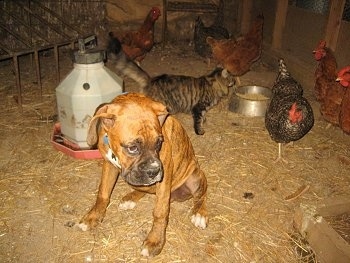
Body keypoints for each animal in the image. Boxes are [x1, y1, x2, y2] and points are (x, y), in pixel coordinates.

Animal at [78, 93, 208, 258]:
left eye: (159, 143)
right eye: (132, 148)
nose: (154, 171)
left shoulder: (165, 174)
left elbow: (160, 212)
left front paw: (155, 241)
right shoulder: (108, 165)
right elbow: (103, 194)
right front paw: (93, 217)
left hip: (195, 177)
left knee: (201, 196)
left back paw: (200, 214)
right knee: (143, 189)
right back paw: (130, 198)